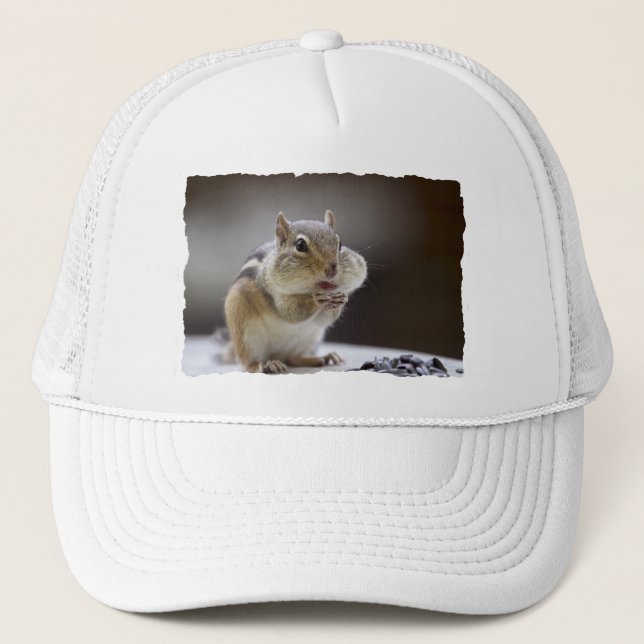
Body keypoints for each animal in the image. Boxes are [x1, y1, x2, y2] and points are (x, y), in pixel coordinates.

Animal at [223, 209, 367, 373]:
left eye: (340, 244)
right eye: (300, 245)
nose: (333, 269)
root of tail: (278, 355)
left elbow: (326, 318)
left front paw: (341, 299)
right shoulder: (273, 292)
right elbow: (291, 312)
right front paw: (316, 300)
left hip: (310, 339)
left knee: (293, 358)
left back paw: (321, 357)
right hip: (244, 334)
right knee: (248, 362)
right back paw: (267, 365)